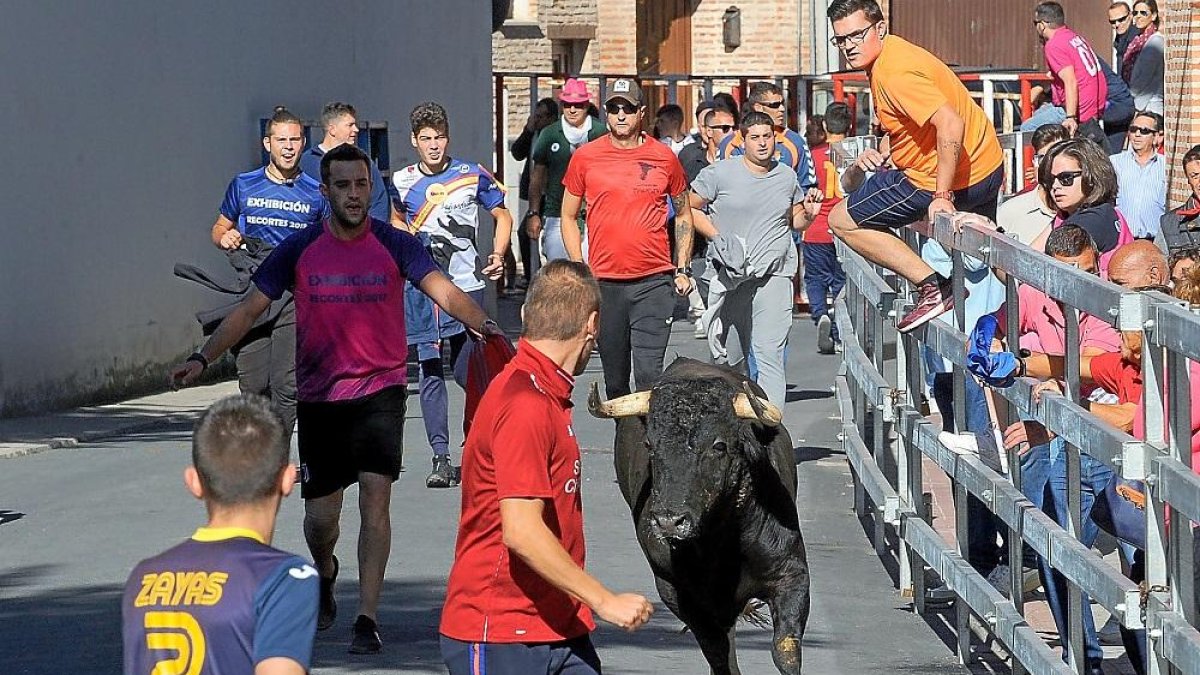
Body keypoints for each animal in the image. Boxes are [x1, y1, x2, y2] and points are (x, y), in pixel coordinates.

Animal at [588, 355, 806, 667]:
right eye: (649, 444)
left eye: (719, 445)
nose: (669, 522)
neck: (720, 541)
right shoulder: (675, 591)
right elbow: (717, 650)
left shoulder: (791, 573)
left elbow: (785, 649)